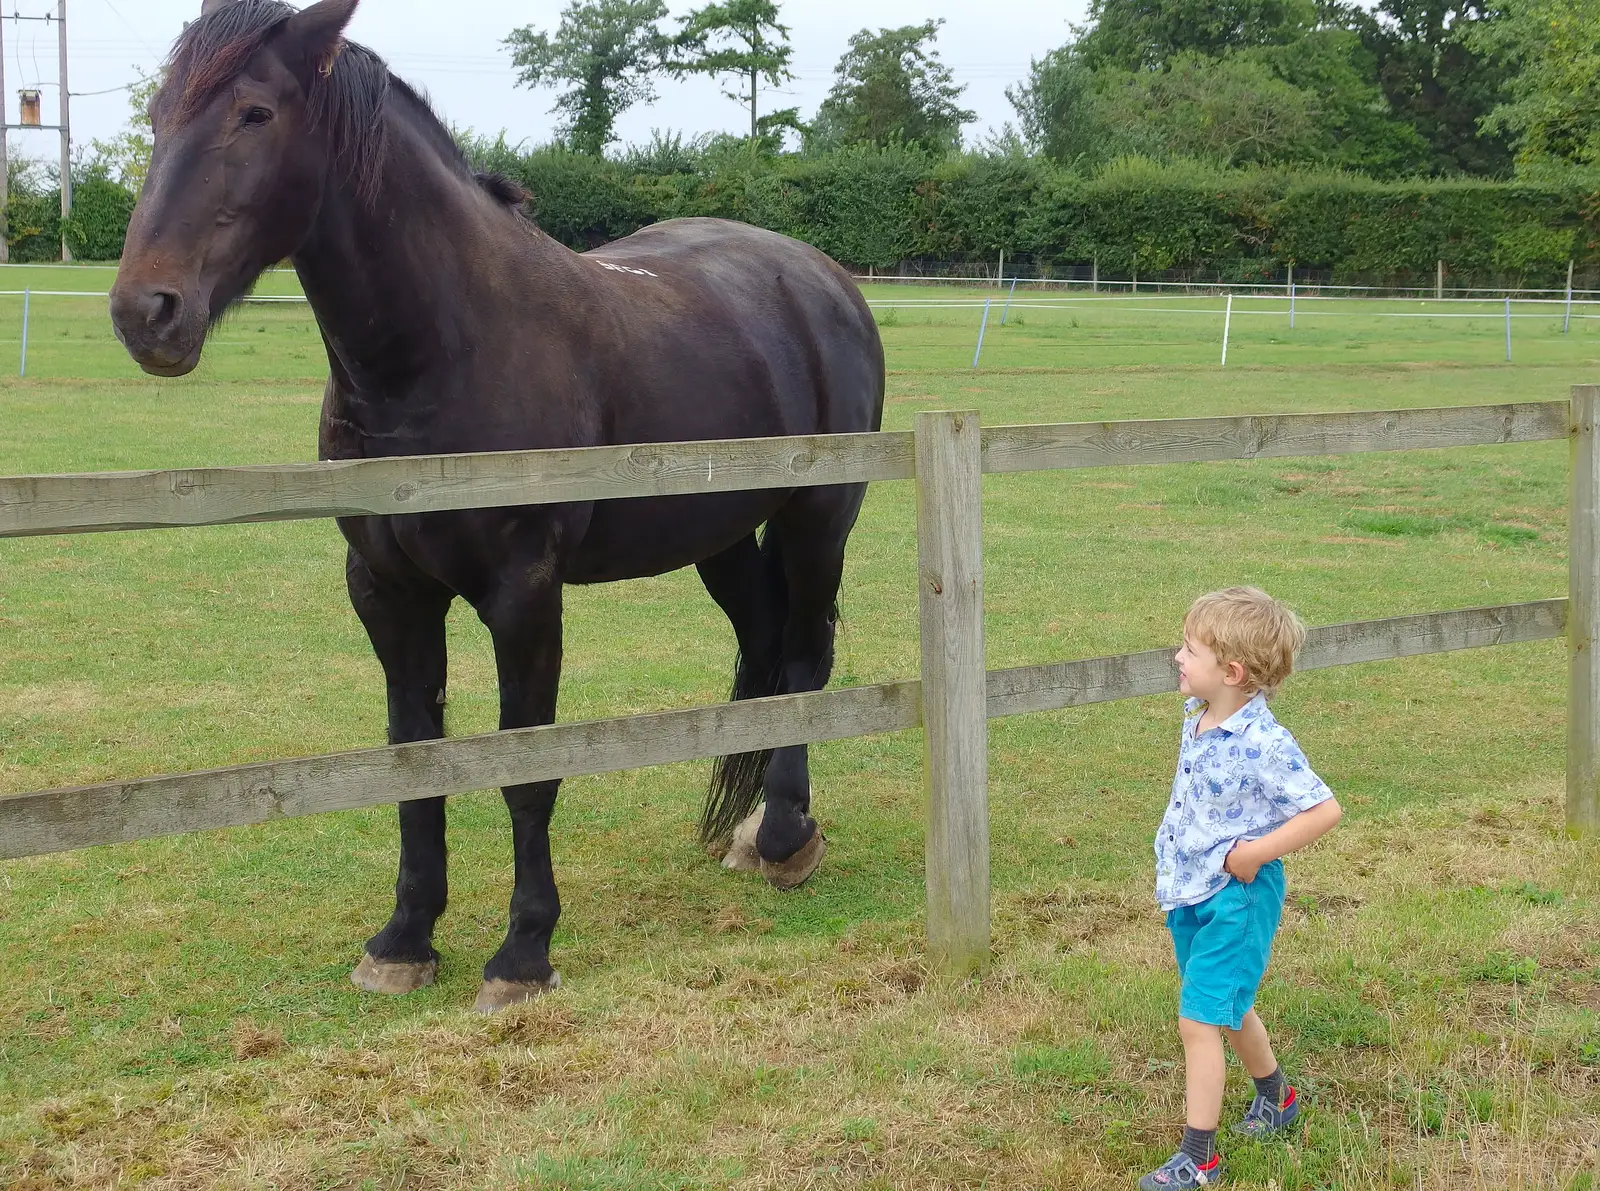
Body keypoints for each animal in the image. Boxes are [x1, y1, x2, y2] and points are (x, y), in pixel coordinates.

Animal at [109, 0, 889, 1011]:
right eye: (157, 115)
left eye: (254, 113)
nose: (146, 312)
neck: (443, 351)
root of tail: (821, 278)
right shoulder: (387, 592)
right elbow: (415, 761)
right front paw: (404, 939)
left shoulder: (524, 594)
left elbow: (526, 769)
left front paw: (523, 951)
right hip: (718, 539)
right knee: (764, 647)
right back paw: (754, 828)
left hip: (817, 516)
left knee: (801, 654)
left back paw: (788, 836)